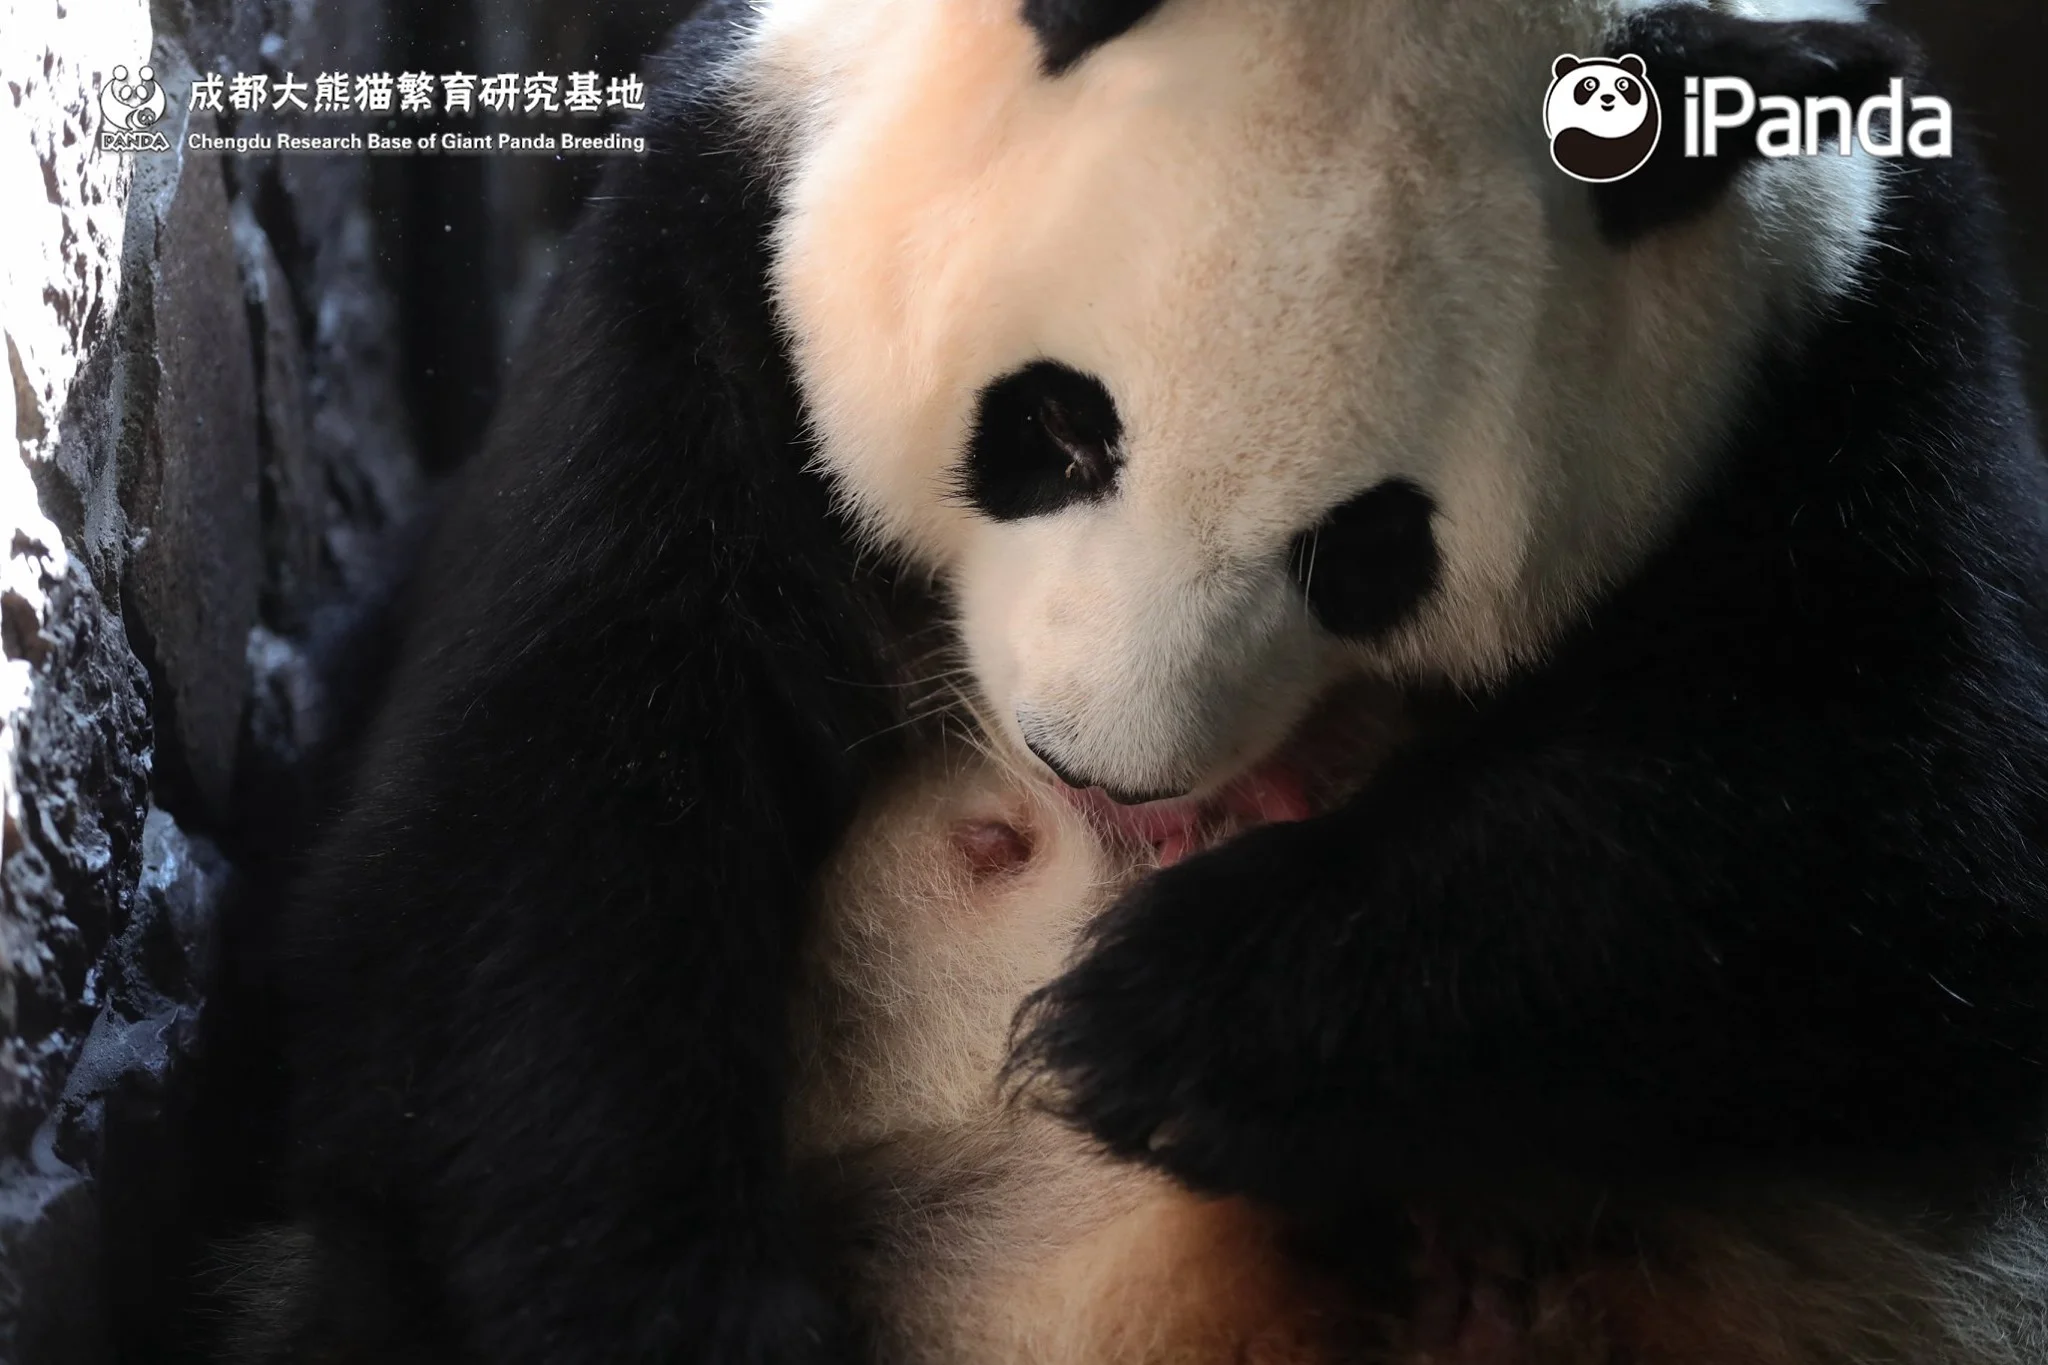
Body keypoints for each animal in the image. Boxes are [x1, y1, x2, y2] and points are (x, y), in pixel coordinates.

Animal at [218, 0, 2048, 1361]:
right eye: (1051, 426)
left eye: (1370, 554)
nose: (1101, 775)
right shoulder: (707, 273)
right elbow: (532, 829)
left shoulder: (1840, 344)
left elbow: (1903, 831)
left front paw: (1166, 1019)